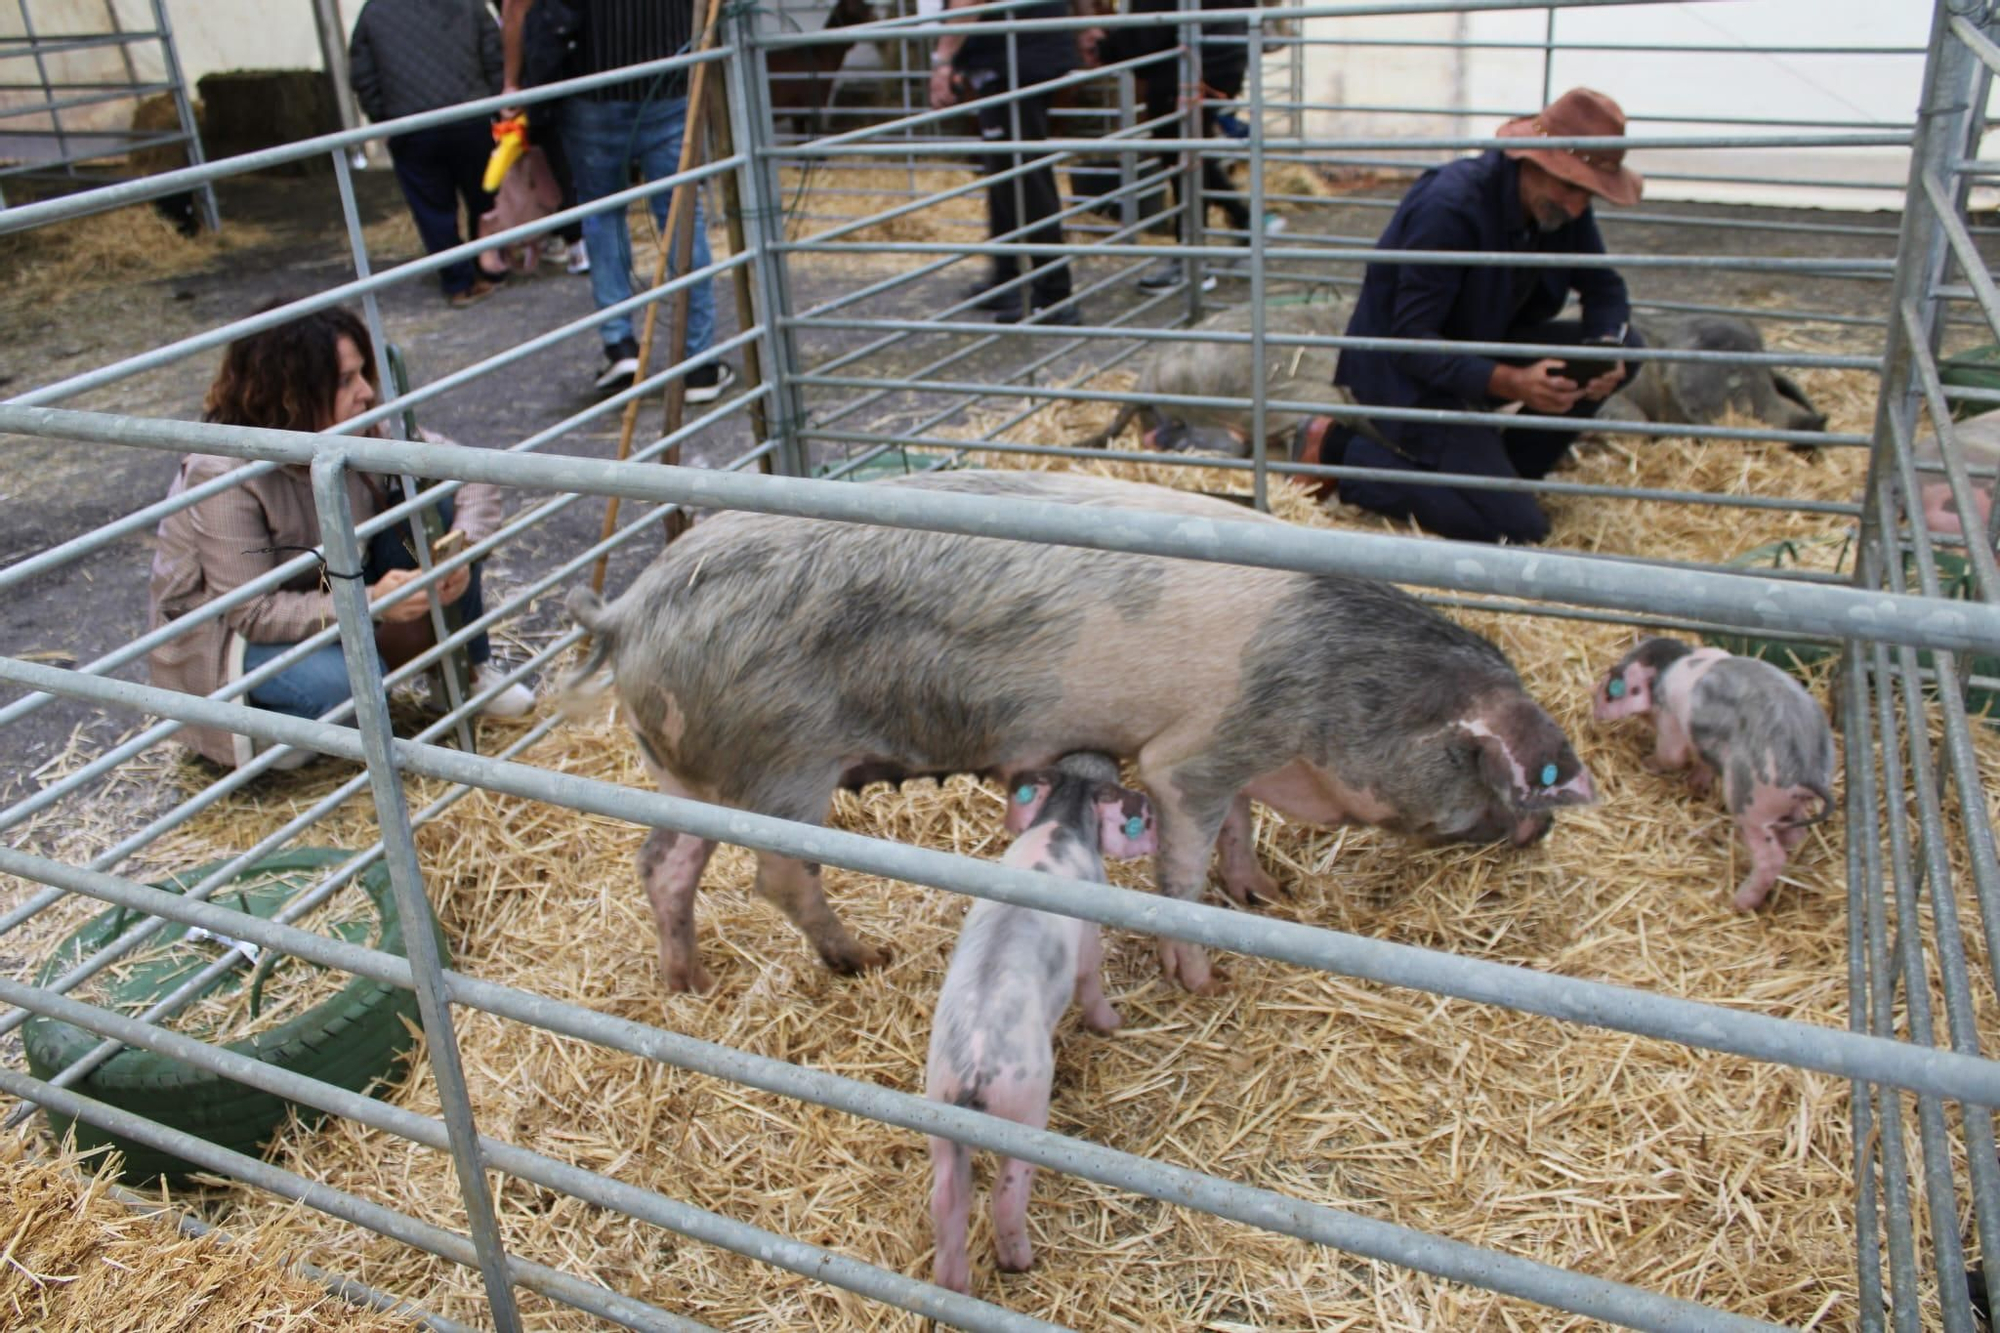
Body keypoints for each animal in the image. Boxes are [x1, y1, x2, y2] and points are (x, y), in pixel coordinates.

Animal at [568, 462, 1592, 992]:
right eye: (1509, 776)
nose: (1542, 832)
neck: (1335, 681)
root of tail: (628, 612)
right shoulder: (1190, 755)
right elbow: (1183, 865)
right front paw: (1201, 979)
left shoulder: (1231, 752)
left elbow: (1239, 829)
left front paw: (1268, 896)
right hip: (782, 766)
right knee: (778, 874)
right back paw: (864, 959)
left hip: (690, 774)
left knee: (662, 863)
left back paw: (686, 984)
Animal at [916, 748, 1144, 1288]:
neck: (1061, 818)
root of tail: (977, 1069)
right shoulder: (1089, 932)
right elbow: (1089, 978)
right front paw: (1113, 1022)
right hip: (1024, 1108)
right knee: (1006, 1192)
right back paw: (1019, 1262)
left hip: (939, 1109)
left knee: (948, 1198)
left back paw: (952, 1285)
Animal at [1584, 636, 1832, 908]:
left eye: (1611, 688)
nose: (1594, 709)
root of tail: (1808, 771)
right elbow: (1702, 764)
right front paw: (1695, 784)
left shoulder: (1670, 720)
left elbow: (1671, 755)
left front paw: (1646, 762)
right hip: (1791, 804)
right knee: (1797, 832)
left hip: (1751, 802)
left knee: (1771, 858)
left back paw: (1739, 902)